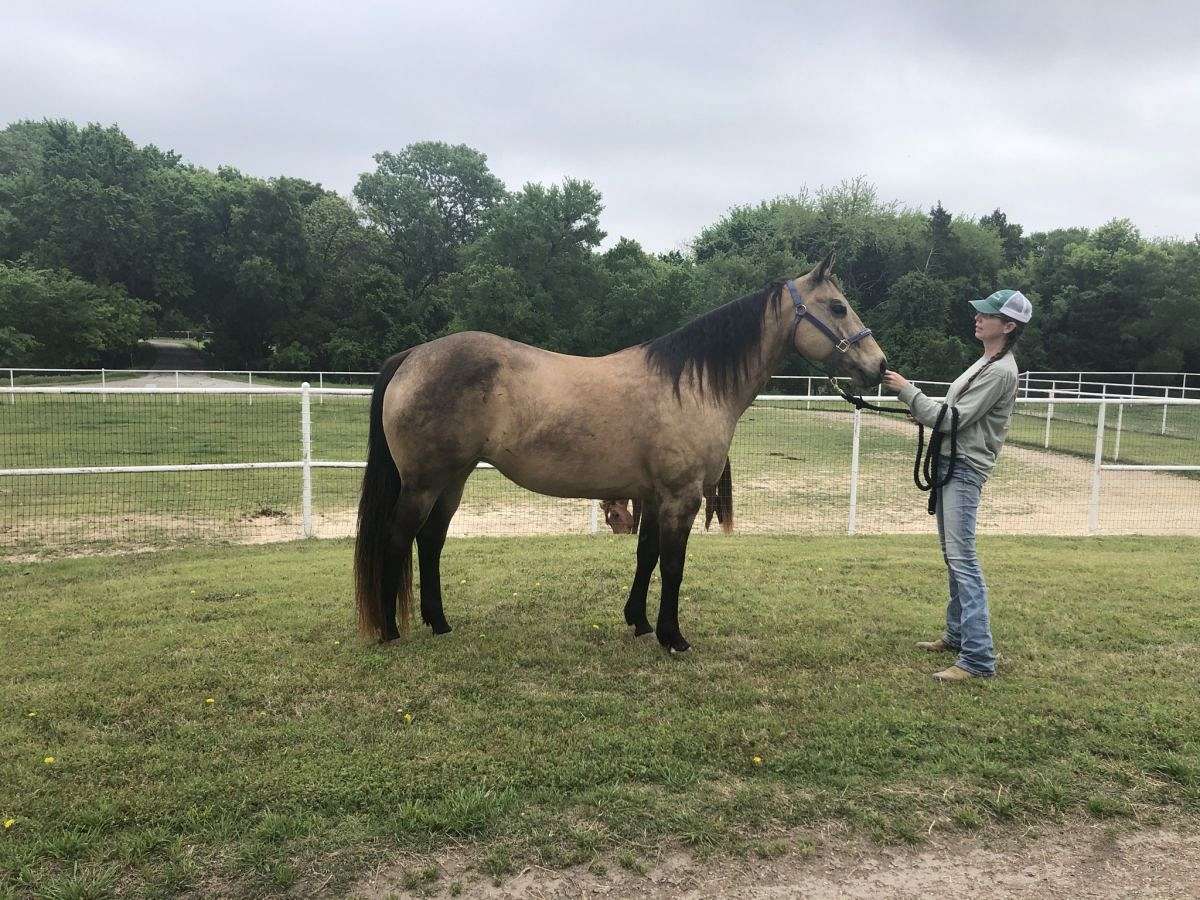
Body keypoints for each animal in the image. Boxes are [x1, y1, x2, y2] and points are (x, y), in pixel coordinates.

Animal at [354, 252, 887, 652]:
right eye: (838, 307)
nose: (879, 366)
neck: (691, 386)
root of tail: (413, 356)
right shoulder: (681, 497)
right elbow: (672, 565)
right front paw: (673, 637)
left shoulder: (651, 495)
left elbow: (645, 555)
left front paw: (640, 623)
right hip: (423, 483)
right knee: (398, 539)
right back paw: (391, 631)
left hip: (454, 479)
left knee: (431, 542)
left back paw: (439, 623)